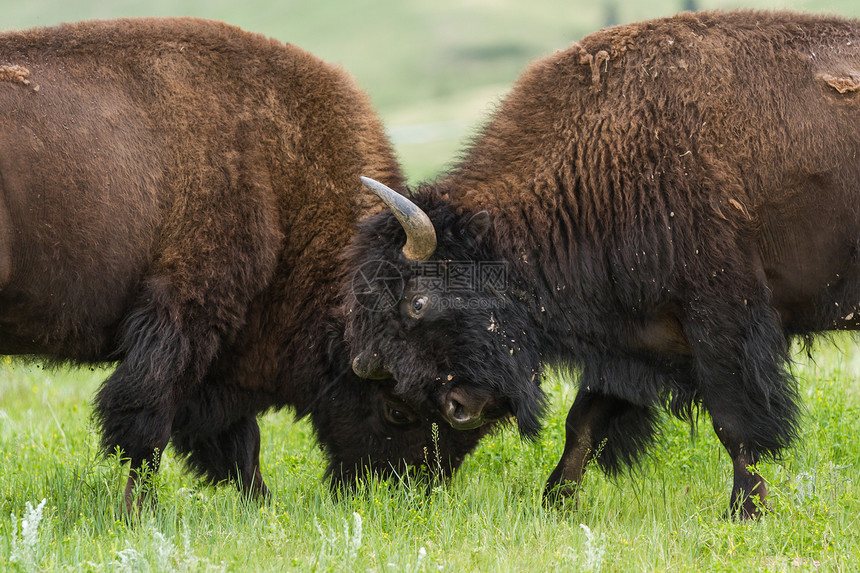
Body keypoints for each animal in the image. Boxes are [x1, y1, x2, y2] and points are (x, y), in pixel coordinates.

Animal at [0, 17, 488, 510]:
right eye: (396, 409)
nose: (403, 493)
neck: (276, 173)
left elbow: (236, 443)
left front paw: (261, 507)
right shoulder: (182, 318)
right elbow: (147, 426)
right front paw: (139, 511)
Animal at [342, 10, 860, 520]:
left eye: (417, 302)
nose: (458, 408)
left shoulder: (723, 325)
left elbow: (734, 424)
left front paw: (746, 511)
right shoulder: (629, 337)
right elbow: (583, 422)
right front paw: (555, 503)